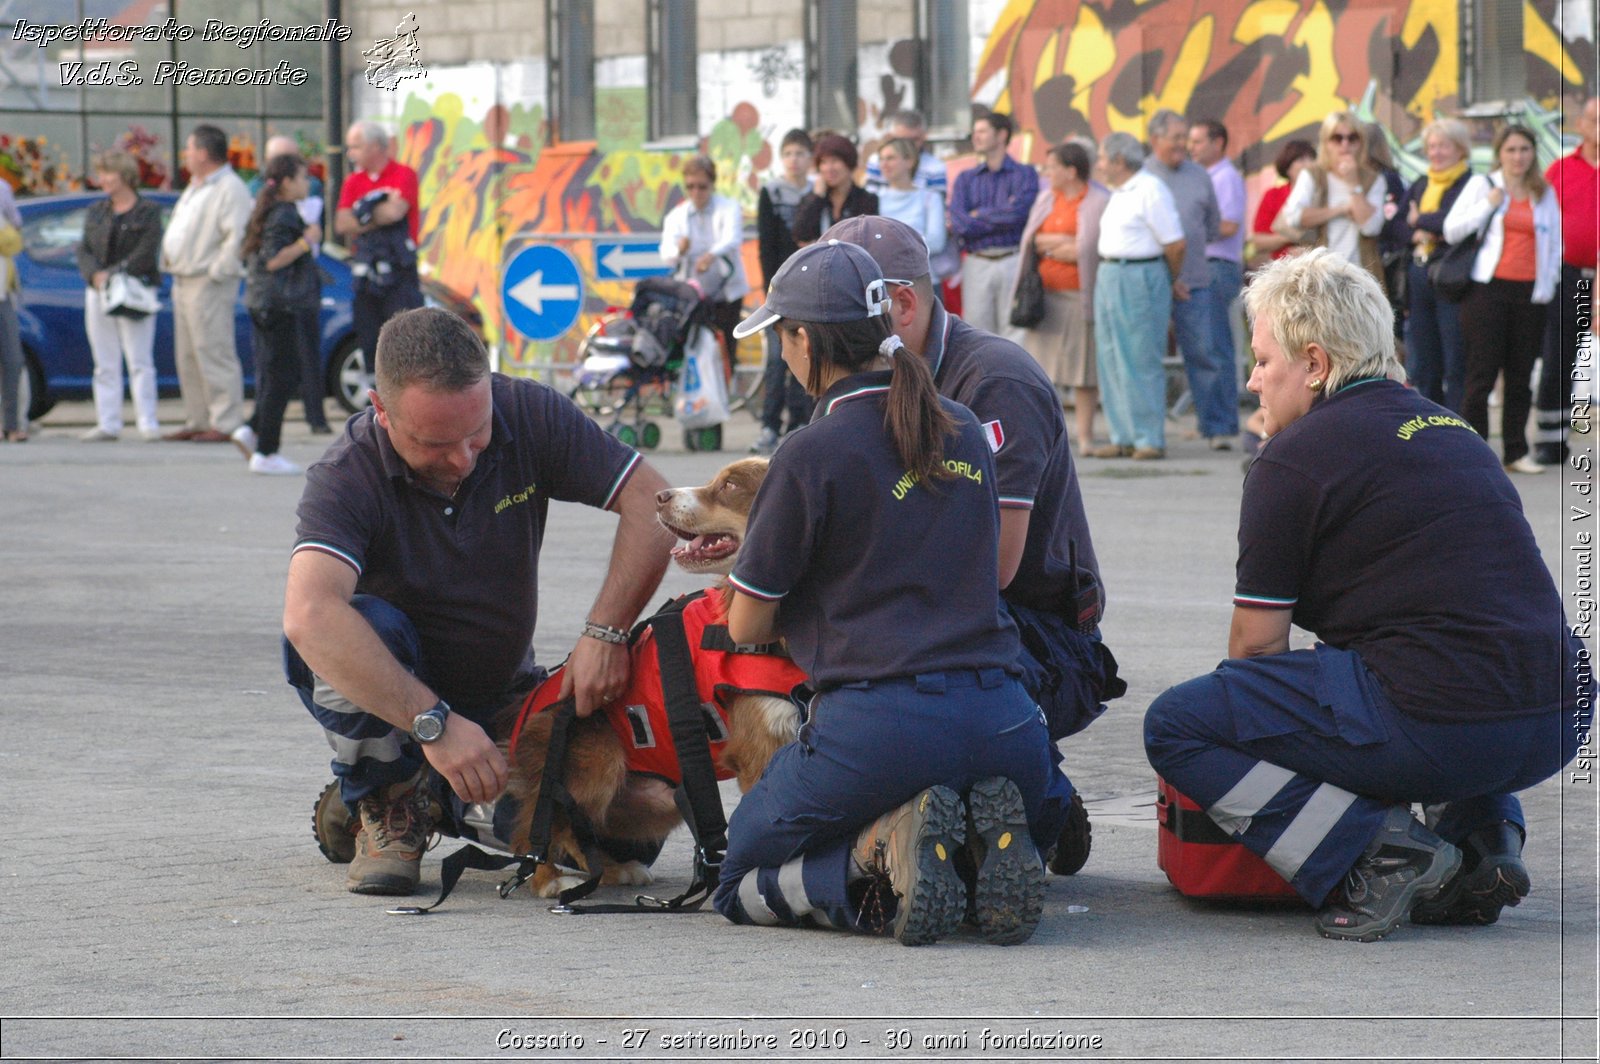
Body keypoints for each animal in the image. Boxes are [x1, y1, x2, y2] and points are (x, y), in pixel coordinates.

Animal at [496, 457, 800, 896]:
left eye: (729, 486)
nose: (661, 496)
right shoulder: (760, 744)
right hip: (594, 759)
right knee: (539, 825)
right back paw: (548, 878)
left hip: (657, 803)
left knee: (585, 828)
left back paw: (610, 870)